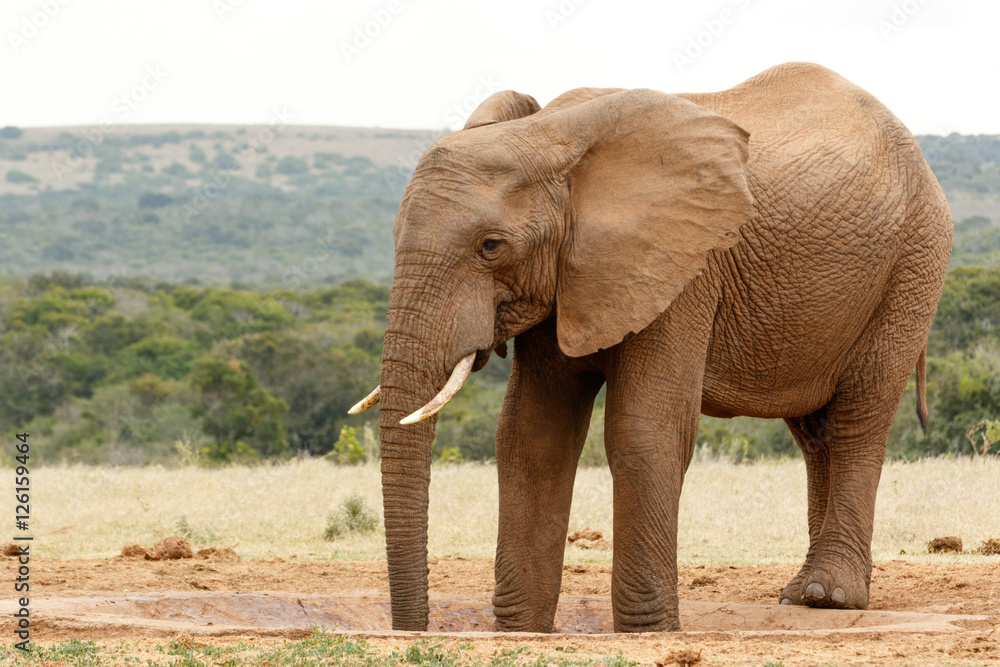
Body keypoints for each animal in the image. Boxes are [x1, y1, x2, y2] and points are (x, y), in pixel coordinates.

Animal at [350, 64, 952, 636]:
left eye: (490, 246)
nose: (417, 628)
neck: (549, 136)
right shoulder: (569, 276)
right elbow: (531, 433)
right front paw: (521, 631)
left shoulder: (685, 267)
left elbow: (644, 431)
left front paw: (648, 631)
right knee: (814, 432)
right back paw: (803, 595)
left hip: (913, 265)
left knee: (857, 417)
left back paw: (829, 596)